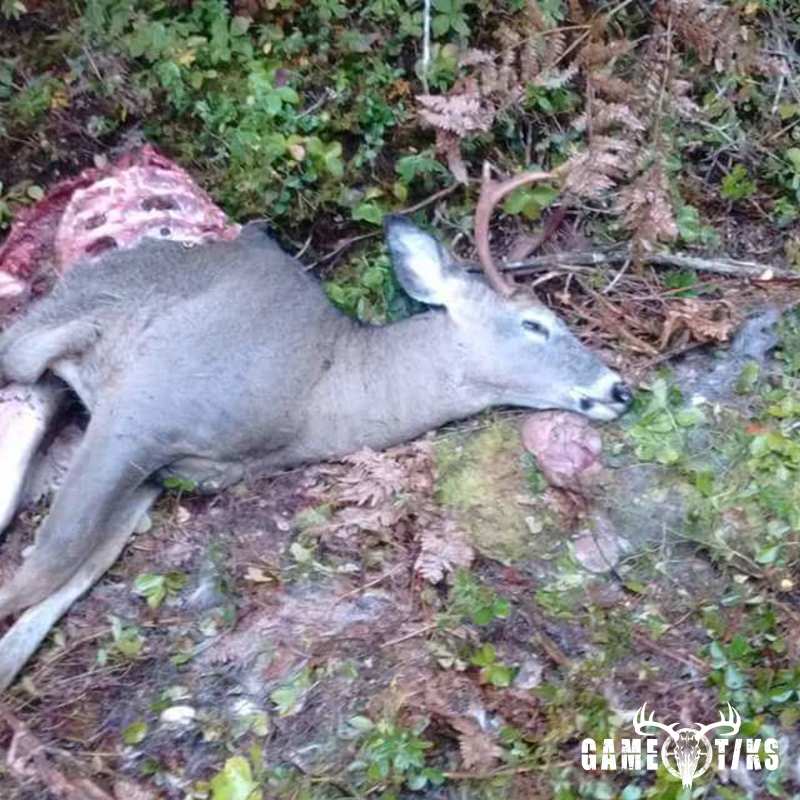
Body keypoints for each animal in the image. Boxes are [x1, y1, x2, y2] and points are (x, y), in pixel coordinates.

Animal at [0, 167, 632, 690]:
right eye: (535, 324)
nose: (619, 389)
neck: (317, 395)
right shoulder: (142, 409)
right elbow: (52, 556)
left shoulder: (169, 470)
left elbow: (72, 568)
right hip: (47, 331)